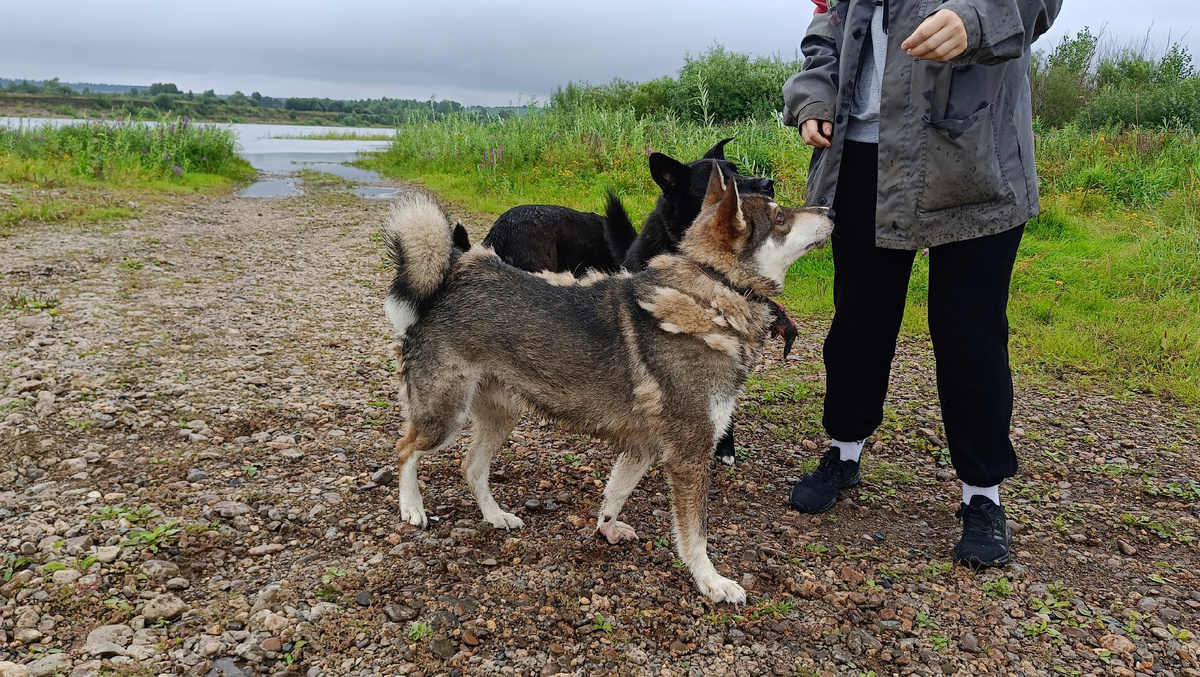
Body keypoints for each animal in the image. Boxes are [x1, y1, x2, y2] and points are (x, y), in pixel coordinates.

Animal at [384, 170, 835, 602]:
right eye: (780, 218)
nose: (830, 209)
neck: (715, 291)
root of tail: (452, 278)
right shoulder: (689, 456)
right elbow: (695, 535)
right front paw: (711, 582)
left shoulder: (642, 448)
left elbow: (614, 496)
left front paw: (606, 529)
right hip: (444, 415)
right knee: (405, 448)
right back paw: (411, 507)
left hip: (501, 415)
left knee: (472, 467)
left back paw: (495, 516)